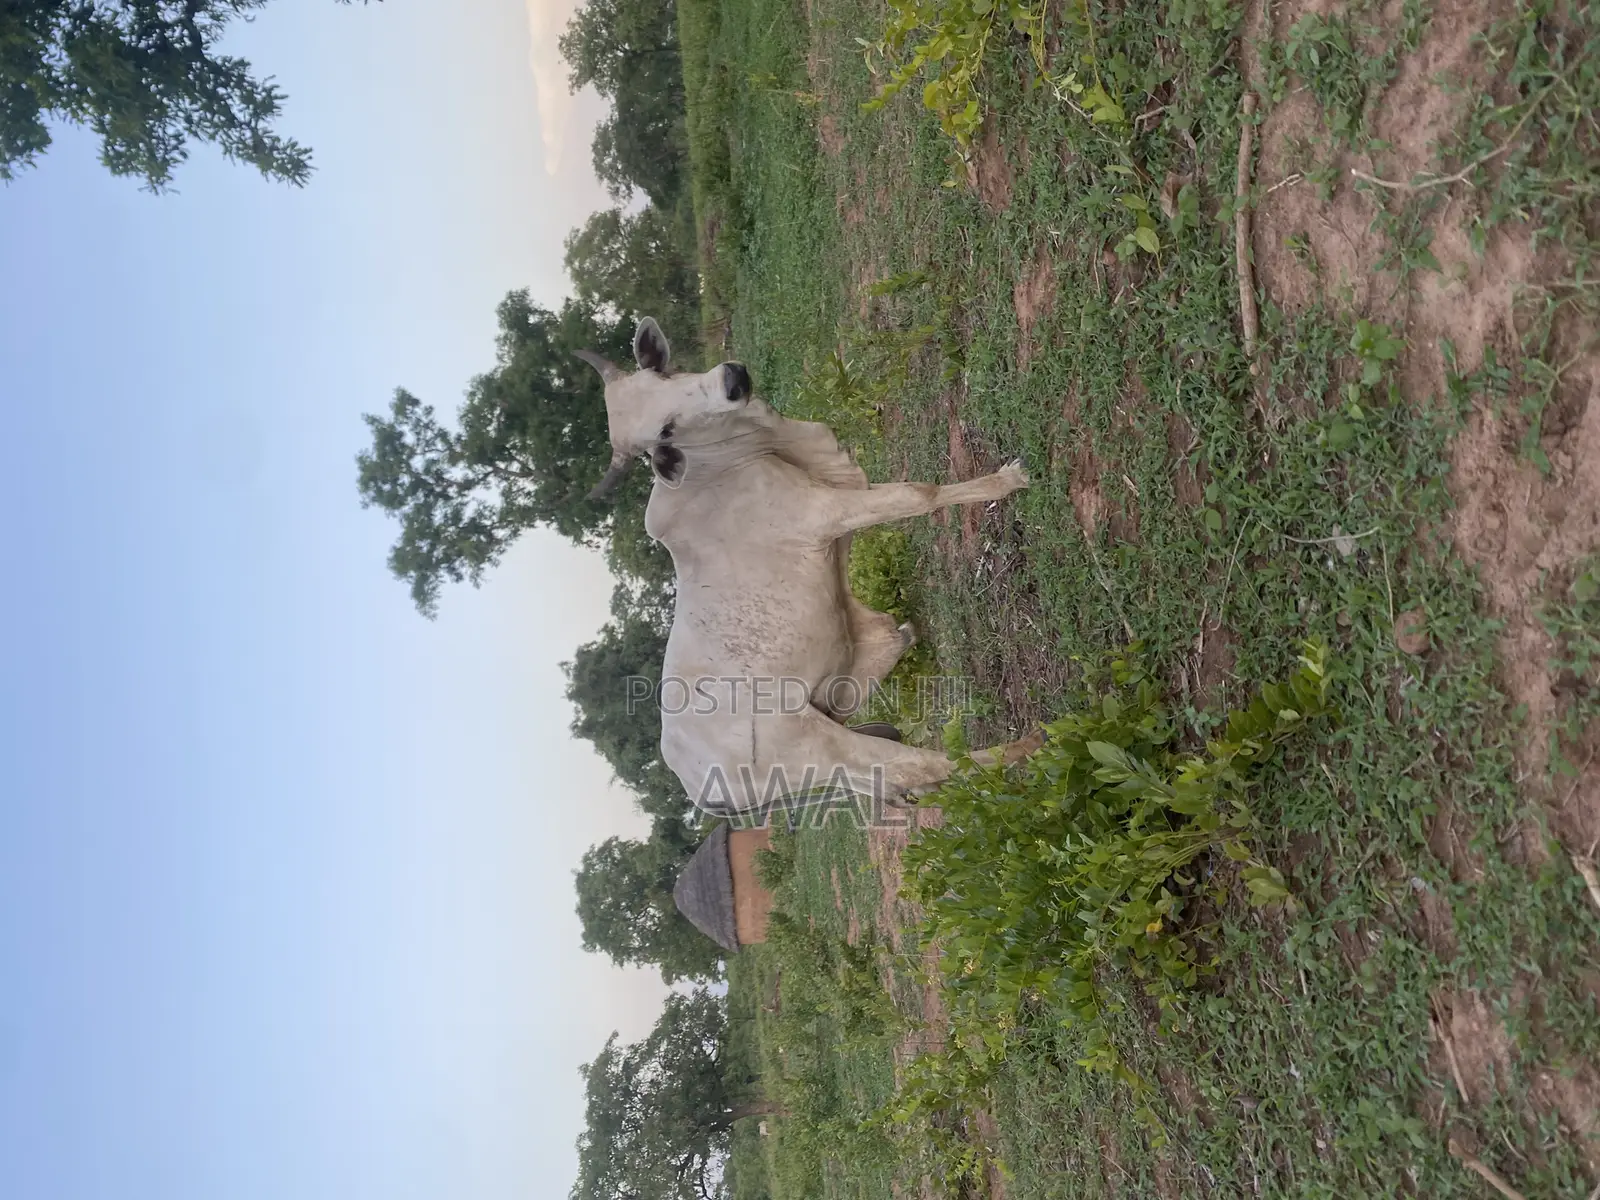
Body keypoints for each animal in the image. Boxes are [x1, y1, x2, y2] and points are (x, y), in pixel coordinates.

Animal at [577, 317, 1040, 818]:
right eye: (665, 430)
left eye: (661, 373)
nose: (732, 380)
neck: (729, 460)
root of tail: (700, 792)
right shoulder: (827, 513)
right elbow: (921, 493)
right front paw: (1010, 480)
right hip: (824, 745)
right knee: (923, 766)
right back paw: (1034, 743)